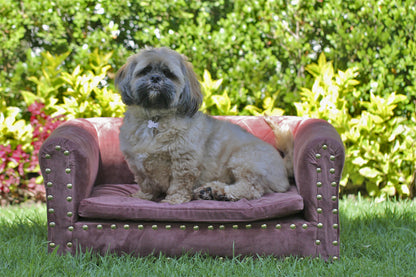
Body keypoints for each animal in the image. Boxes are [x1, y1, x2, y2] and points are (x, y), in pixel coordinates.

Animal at [115, 47, 294, 203]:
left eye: (169, 74)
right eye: (145, 71)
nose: (155, 78)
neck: (154, 117)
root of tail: (283, 164)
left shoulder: (184, 161)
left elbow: (179, 184)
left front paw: (173, 201)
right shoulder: (138, 165)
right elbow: (146, 184)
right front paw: (143, 197)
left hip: (244, 159)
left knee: (251, 188)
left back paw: (223, 193)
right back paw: (210, 190)